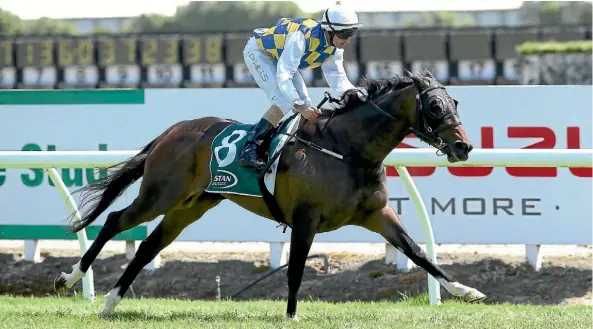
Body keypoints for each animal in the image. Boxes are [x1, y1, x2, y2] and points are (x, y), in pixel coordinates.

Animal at [53, 69, 486, 318]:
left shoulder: (377, 214)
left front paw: (465, 290)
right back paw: (70, 278)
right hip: (161, 192)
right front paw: (291, 317)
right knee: (115, 220)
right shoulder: (306, 218)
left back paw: (111, 301)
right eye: (434, 106)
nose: (464, 146)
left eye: (455, 101)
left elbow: (419, 252)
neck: (347, 148)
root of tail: (172, 130)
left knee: (148, 247)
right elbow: (295, 269)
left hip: (191, 205)